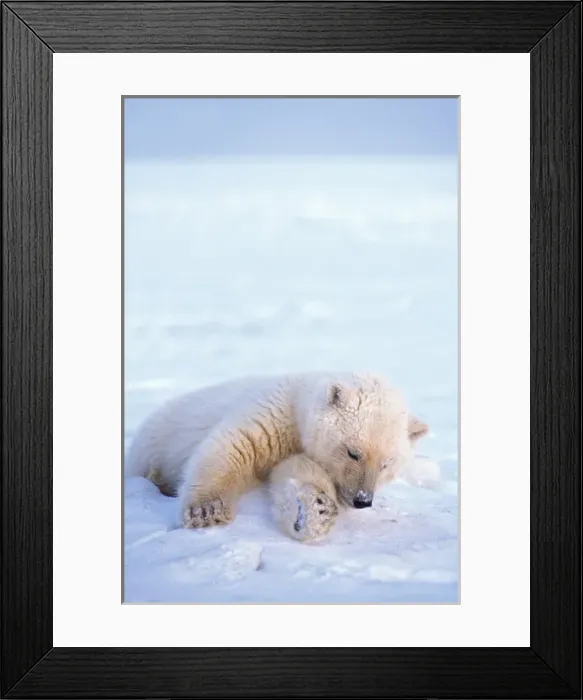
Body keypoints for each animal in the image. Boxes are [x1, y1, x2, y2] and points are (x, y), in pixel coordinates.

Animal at [125, 372, 429, 542]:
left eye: (386, 464)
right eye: (353, 453)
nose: (362, 500)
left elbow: (295, 475)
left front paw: (314, 510)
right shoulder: (273, 412)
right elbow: (233, 447)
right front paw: (207, 512)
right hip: (152, 443)